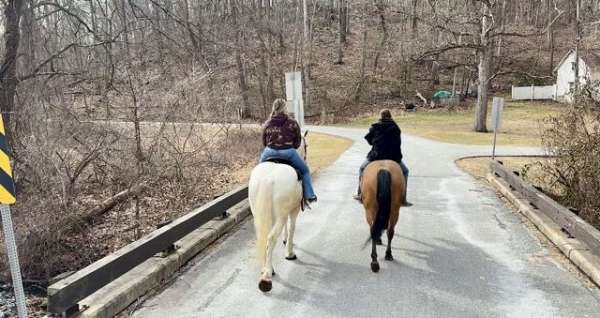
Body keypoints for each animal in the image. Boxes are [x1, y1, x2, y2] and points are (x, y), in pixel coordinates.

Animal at [247, 130, 310, 292]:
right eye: (306, 145)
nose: (306, 157)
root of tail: (268, 178)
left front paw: (285, 239)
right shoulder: (294, 209)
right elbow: (292, 227)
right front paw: (290, 253)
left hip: (260, 213)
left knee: (263, 238)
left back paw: (266, 269)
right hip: (280, 215)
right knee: (270, 238)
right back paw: (267, 277)